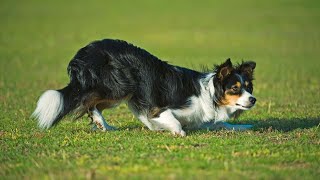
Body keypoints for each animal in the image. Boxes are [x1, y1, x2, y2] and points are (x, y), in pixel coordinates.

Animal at [32, 38, 256, 136]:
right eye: (235, 88)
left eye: (248, 88)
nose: (253, 100)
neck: (210, 93)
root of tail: (84, 53)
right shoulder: (158, 108)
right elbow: (173, 121)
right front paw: (176, 132)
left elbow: (224, 124)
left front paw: (246, 126)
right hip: (120, 87)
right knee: (87, 102)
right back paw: (101, 123)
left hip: (123, 91)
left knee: (92, 105)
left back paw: (104, 125)